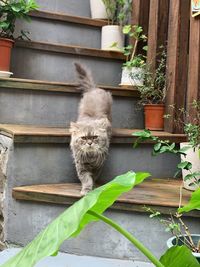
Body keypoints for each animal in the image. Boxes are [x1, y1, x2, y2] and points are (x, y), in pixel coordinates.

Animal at [69, 63, 111, 196]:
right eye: (84, 138)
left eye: (94, 137)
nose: (89, 143)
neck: (91, 157)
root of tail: (93, 89)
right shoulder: (81, 165)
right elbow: (86, 179)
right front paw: (86, 191)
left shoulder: (99, 164)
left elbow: (94, 177)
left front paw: (94, 188)